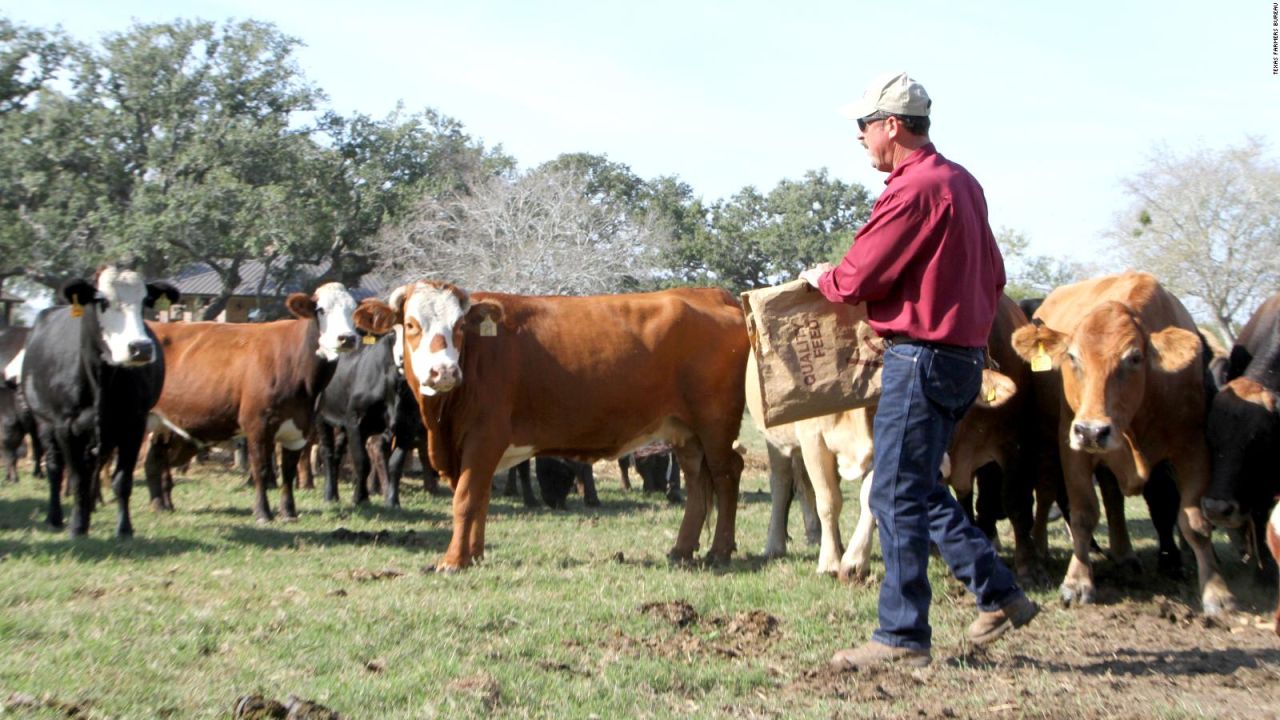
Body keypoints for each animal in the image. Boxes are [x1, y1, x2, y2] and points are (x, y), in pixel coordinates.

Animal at [19, 267, 177, 532]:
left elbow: (122, 480)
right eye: (102, 301)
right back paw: (55, 518)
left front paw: (124, 528)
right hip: (45, 424)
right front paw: (76, 527)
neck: (102, 377)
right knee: (54, 468)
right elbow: (76, 478)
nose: (140, 348)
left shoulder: (133, 425)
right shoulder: (65, 427)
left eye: (145, 301)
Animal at [145, 281, 360, 520]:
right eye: (321, 310)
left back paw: (161, 505)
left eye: (353, 310)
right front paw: (263, 512)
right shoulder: (256, 424)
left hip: (163, 424)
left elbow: (288, 471)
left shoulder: (299, 428)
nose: (347, 338)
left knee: (155, 458)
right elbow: (261, 469)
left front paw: (288, 511)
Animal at [350, 283, 747, 568]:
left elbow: (465, 498)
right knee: (697, 482)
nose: (444, 371)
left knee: (726, 475)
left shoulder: (484, 436)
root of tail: (711, 294)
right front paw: (474, 554)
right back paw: (682, 549)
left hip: (716, 423)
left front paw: (454, 560)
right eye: (411, 325)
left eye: (460, 326)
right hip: (685, 431)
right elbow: (480, 497)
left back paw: (719, 550)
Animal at [1008, 269, 1228, 609]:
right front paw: (1077, 582)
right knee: (1045, 494)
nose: (1092, 431)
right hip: (1046, 441)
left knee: (1112, 498)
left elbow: (1195, 522)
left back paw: (1124, 554)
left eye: (1134, 358)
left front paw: (1216, 590)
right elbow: (1083, 513)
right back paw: (1041, 547)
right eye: (1072, 357)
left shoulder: (1192, 448)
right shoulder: (1072, 447)